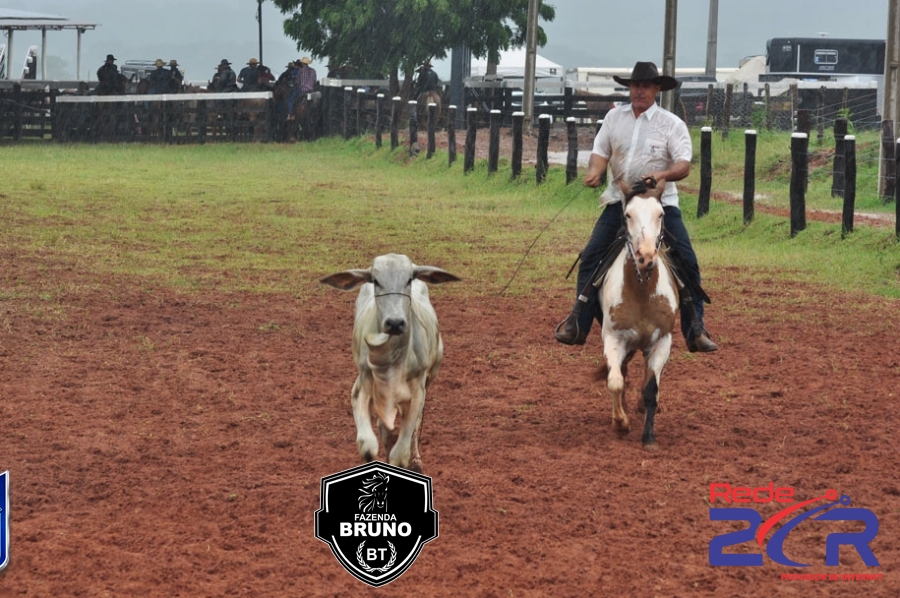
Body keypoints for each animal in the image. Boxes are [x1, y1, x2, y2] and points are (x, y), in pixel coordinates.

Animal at [322, 253, 460, 474]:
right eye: (376, 281)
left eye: (409, 279)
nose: (395, 323)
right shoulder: (364, 384)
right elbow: (368, 444)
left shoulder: (418, 390)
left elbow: (402, 450)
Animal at [596, 176, 676, 452]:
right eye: (628, 215)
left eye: (661, 214)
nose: (646, 257)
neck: (642, 291)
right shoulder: (613, 339)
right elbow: (615, 381)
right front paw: (621, 423)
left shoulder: (662, 342)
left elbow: (651, 389)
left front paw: (649, 437)